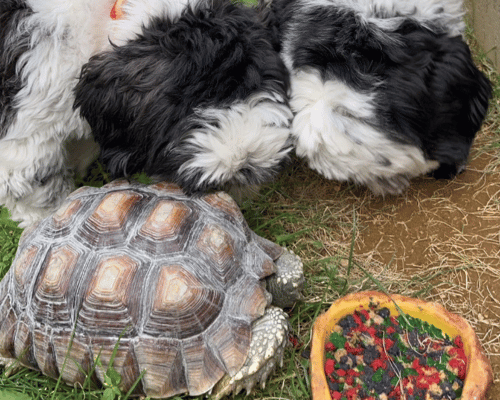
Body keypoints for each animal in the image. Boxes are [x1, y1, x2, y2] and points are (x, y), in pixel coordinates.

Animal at [0, 0, 292, 227]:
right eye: (201, 98)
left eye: (259, 82)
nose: (246, 162)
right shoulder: (25, 140)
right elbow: (38, 189)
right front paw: (48, 221)